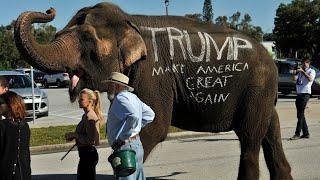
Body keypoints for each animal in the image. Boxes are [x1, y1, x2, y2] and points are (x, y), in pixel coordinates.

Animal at [13, 2, 292, 180]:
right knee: (271, 131)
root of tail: (272, 61)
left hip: (256, 87)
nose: (49, 10)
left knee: (250, 139)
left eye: (87, 39)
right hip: (263, 95)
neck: (131, 20)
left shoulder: (154, 72)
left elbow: (155, 126)